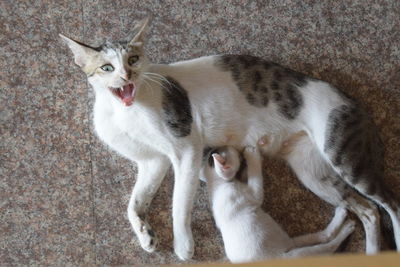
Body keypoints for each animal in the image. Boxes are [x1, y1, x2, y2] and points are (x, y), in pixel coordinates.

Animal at [202, 144, 354, 264]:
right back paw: (346, 227)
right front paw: (252, 154)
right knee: (328, 244)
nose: (210, 147)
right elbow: (255, 175)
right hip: (297, 255)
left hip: (291, 243)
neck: (217, 185)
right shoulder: (253, 195)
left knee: (318, 238)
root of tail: (285, 248)